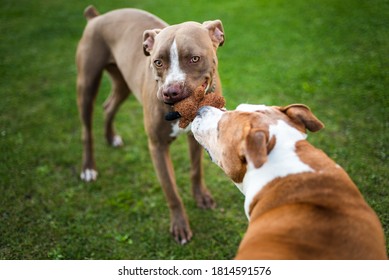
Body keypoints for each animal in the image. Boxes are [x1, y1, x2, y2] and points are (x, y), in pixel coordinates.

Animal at [76, 5, 224, 244]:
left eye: (194, 58)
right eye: (158, 62)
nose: (171, 91)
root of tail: (96, 17)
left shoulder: (196, 137)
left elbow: (196, 170)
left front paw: (201, 197)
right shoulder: (157, 146)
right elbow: (171, 190)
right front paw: (180, 226)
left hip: (122, 82)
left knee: (109, 106)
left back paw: (111, 137)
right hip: (87, 84)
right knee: (86, 130)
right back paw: (89, 168)